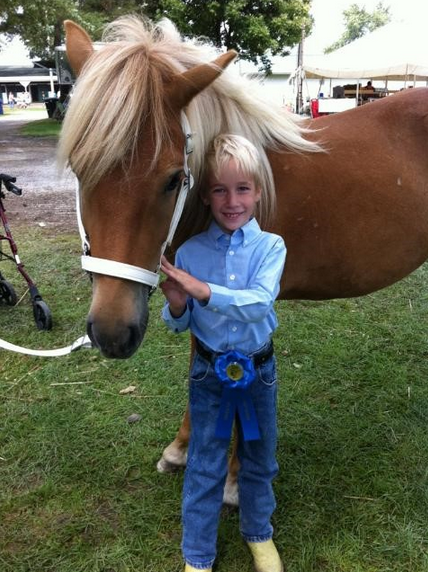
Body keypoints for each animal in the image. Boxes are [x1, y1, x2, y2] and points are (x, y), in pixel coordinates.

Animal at [59, 14, 428, 504]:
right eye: (79, 170)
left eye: (173, 179)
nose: (112, 334)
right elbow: (198, 363)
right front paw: (180, 449)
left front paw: (234, 481)